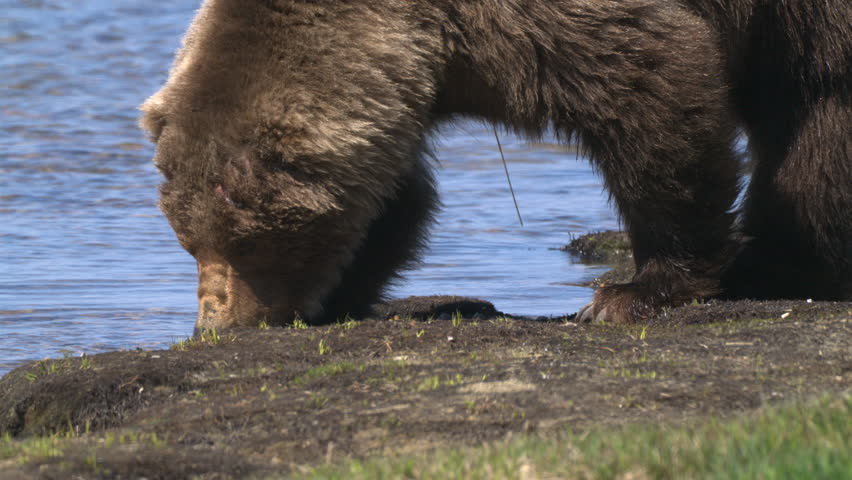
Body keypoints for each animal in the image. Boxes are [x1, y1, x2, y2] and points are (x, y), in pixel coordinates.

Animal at [140, 0, 851, 330]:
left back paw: (776, 261)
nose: (211, 325)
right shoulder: (421, 80)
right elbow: (397, 196)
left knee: (818, 115)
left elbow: (652, 82)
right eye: (188, 243)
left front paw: (632, 291)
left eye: (245, 244)